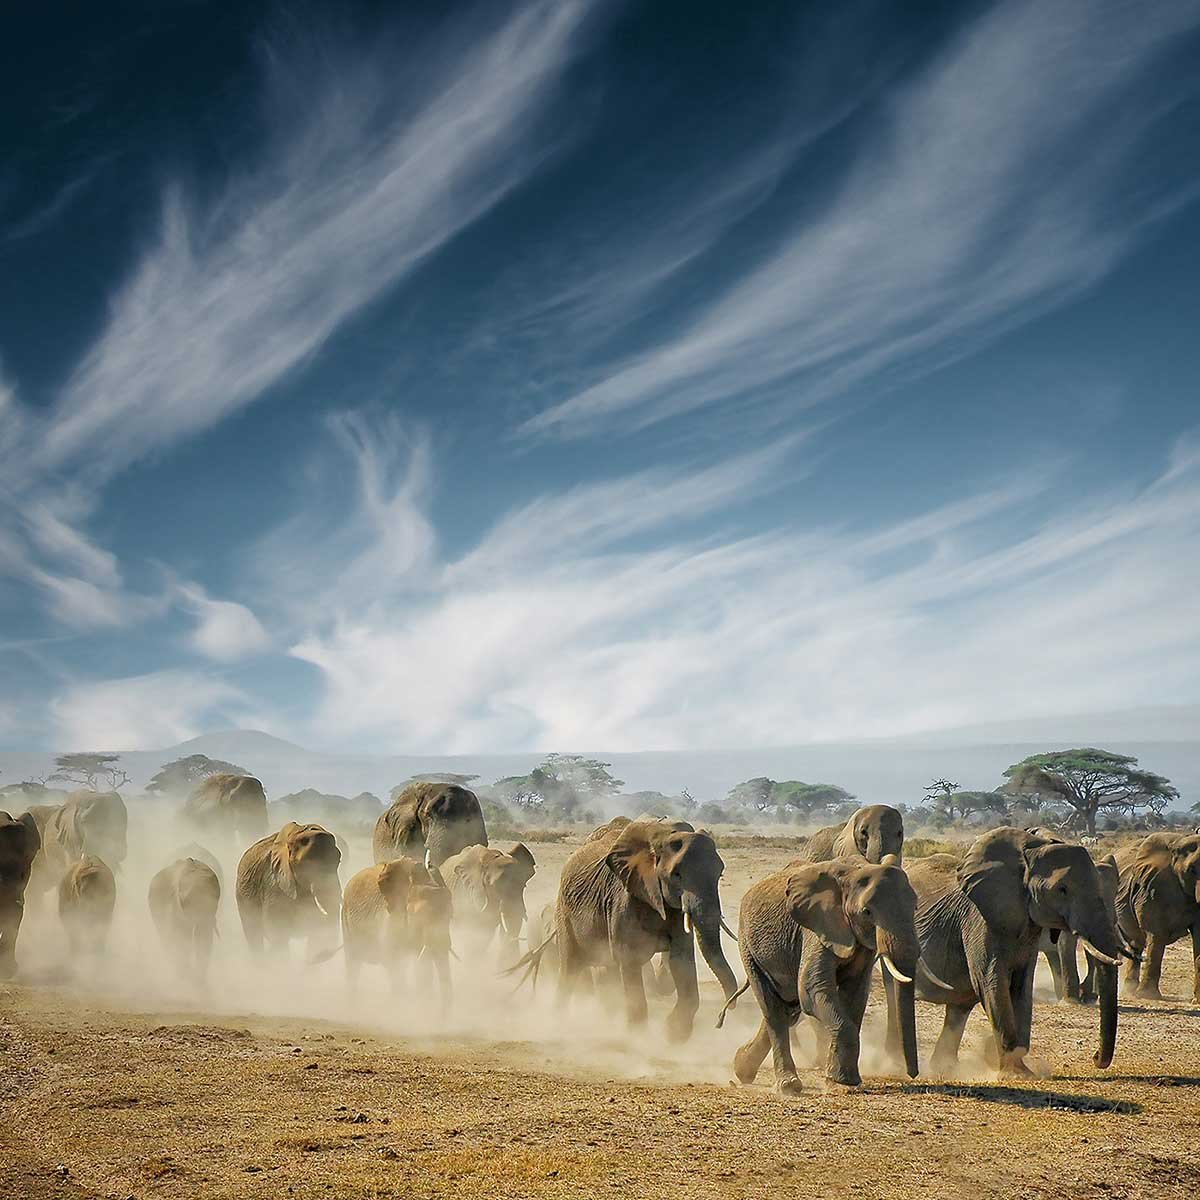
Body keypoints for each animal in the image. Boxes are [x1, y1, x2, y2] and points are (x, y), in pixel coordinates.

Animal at [341, 860, 453, 1002]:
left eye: (450, 915)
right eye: (418, 914)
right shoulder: (390, 918)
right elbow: (394, 963)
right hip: (346, 921)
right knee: (352, 964)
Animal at [548, 818, 740, 1041]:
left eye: (719, 873)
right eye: (677, 875)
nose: (723, 1015)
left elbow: (681, 959)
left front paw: (674, 1035)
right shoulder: (624, 901)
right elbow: (629, 960)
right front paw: (639, 1038)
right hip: (564, 913)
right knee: (570, 967)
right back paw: (559, 1023)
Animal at [729, 856, 920, 1092]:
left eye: (915, 907)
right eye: (867, 912)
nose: (912, 1074)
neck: (854, 872)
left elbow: (856, 993)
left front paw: (841, 1079)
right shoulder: (817, 926)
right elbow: (811, 988)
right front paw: (842, 1081)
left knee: (788, 1009)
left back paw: (741, 1067)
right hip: (748, 946)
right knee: (773, 1009)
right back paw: (788, 1086)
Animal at [912, 827, 1124, 1077]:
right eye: (1062, 890)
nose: (1094, 1057)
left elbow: (1021, 985)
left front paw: (1019, 1063)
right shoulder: (980, 918)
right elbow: (990, 980)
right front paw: (1014, 1072)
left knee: (960, 1005)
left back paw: (944, 1068)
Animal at [1114, 832, 1200, 1001]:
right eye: (1192, 870)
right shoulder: (1152, 888)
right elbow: (1157, 935)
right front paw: (1148, 996)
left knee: (1136, 943)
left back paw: (1130, 991)